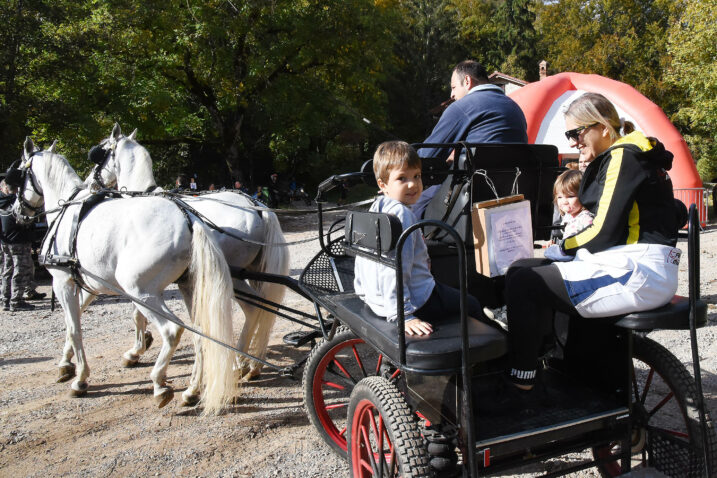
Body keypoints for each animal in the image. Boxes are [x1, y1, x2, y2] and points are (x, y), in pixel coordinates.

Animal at [13, 136, 238, 412]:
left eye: (19, 174)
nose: (16, 212)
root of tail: (189, 219)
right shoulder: (90, 285)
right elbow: (73, 321)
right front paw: (66, 364)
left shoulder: (62, 281)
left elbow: (75, 327)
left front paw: (80, 378)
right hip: (188, 286)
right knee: (200, 332)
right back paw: (192, 390)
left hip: (140, 290)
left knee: (173, 331)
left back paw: (159, 383)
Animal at [88, 123, 290, 380]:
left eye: (100, 151)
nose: (90, 183)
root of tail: (257, 206)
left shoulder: (138, 278)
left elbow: (137, 312)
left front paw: (135, 351)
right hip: (252, 272)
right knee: (261, 309)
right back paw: (250, 364)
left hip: (233, 276)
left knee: (252, 309)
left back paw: (239, 362)